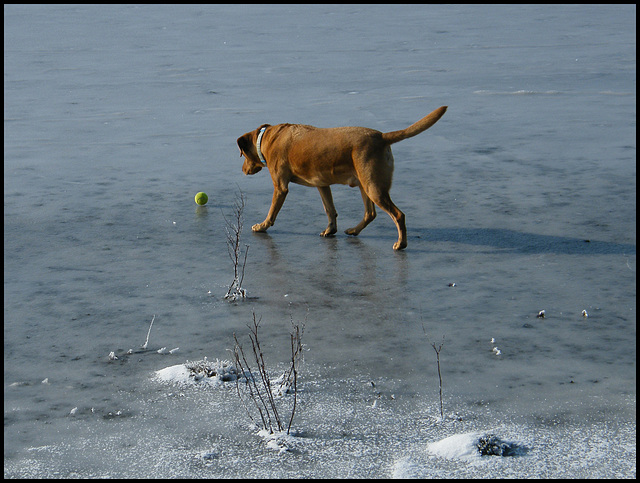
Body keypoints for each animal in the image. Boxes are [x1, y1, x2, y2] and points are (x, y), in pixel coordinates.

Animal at [238, 105, 448, 250]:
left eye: (242, 154)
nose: (242, 170)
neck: (266, 138)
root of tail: (382, 136)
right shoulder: (322, 184)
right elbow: (330, 210)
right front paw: (330, 230)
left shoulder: (280, 186)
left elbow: (272, 211)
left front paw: (262, 226)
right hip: (365, 184)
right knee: (370, 213)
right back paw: (354, 230)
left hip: (374, 187)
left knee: (398, 215)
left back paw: (401, 243)